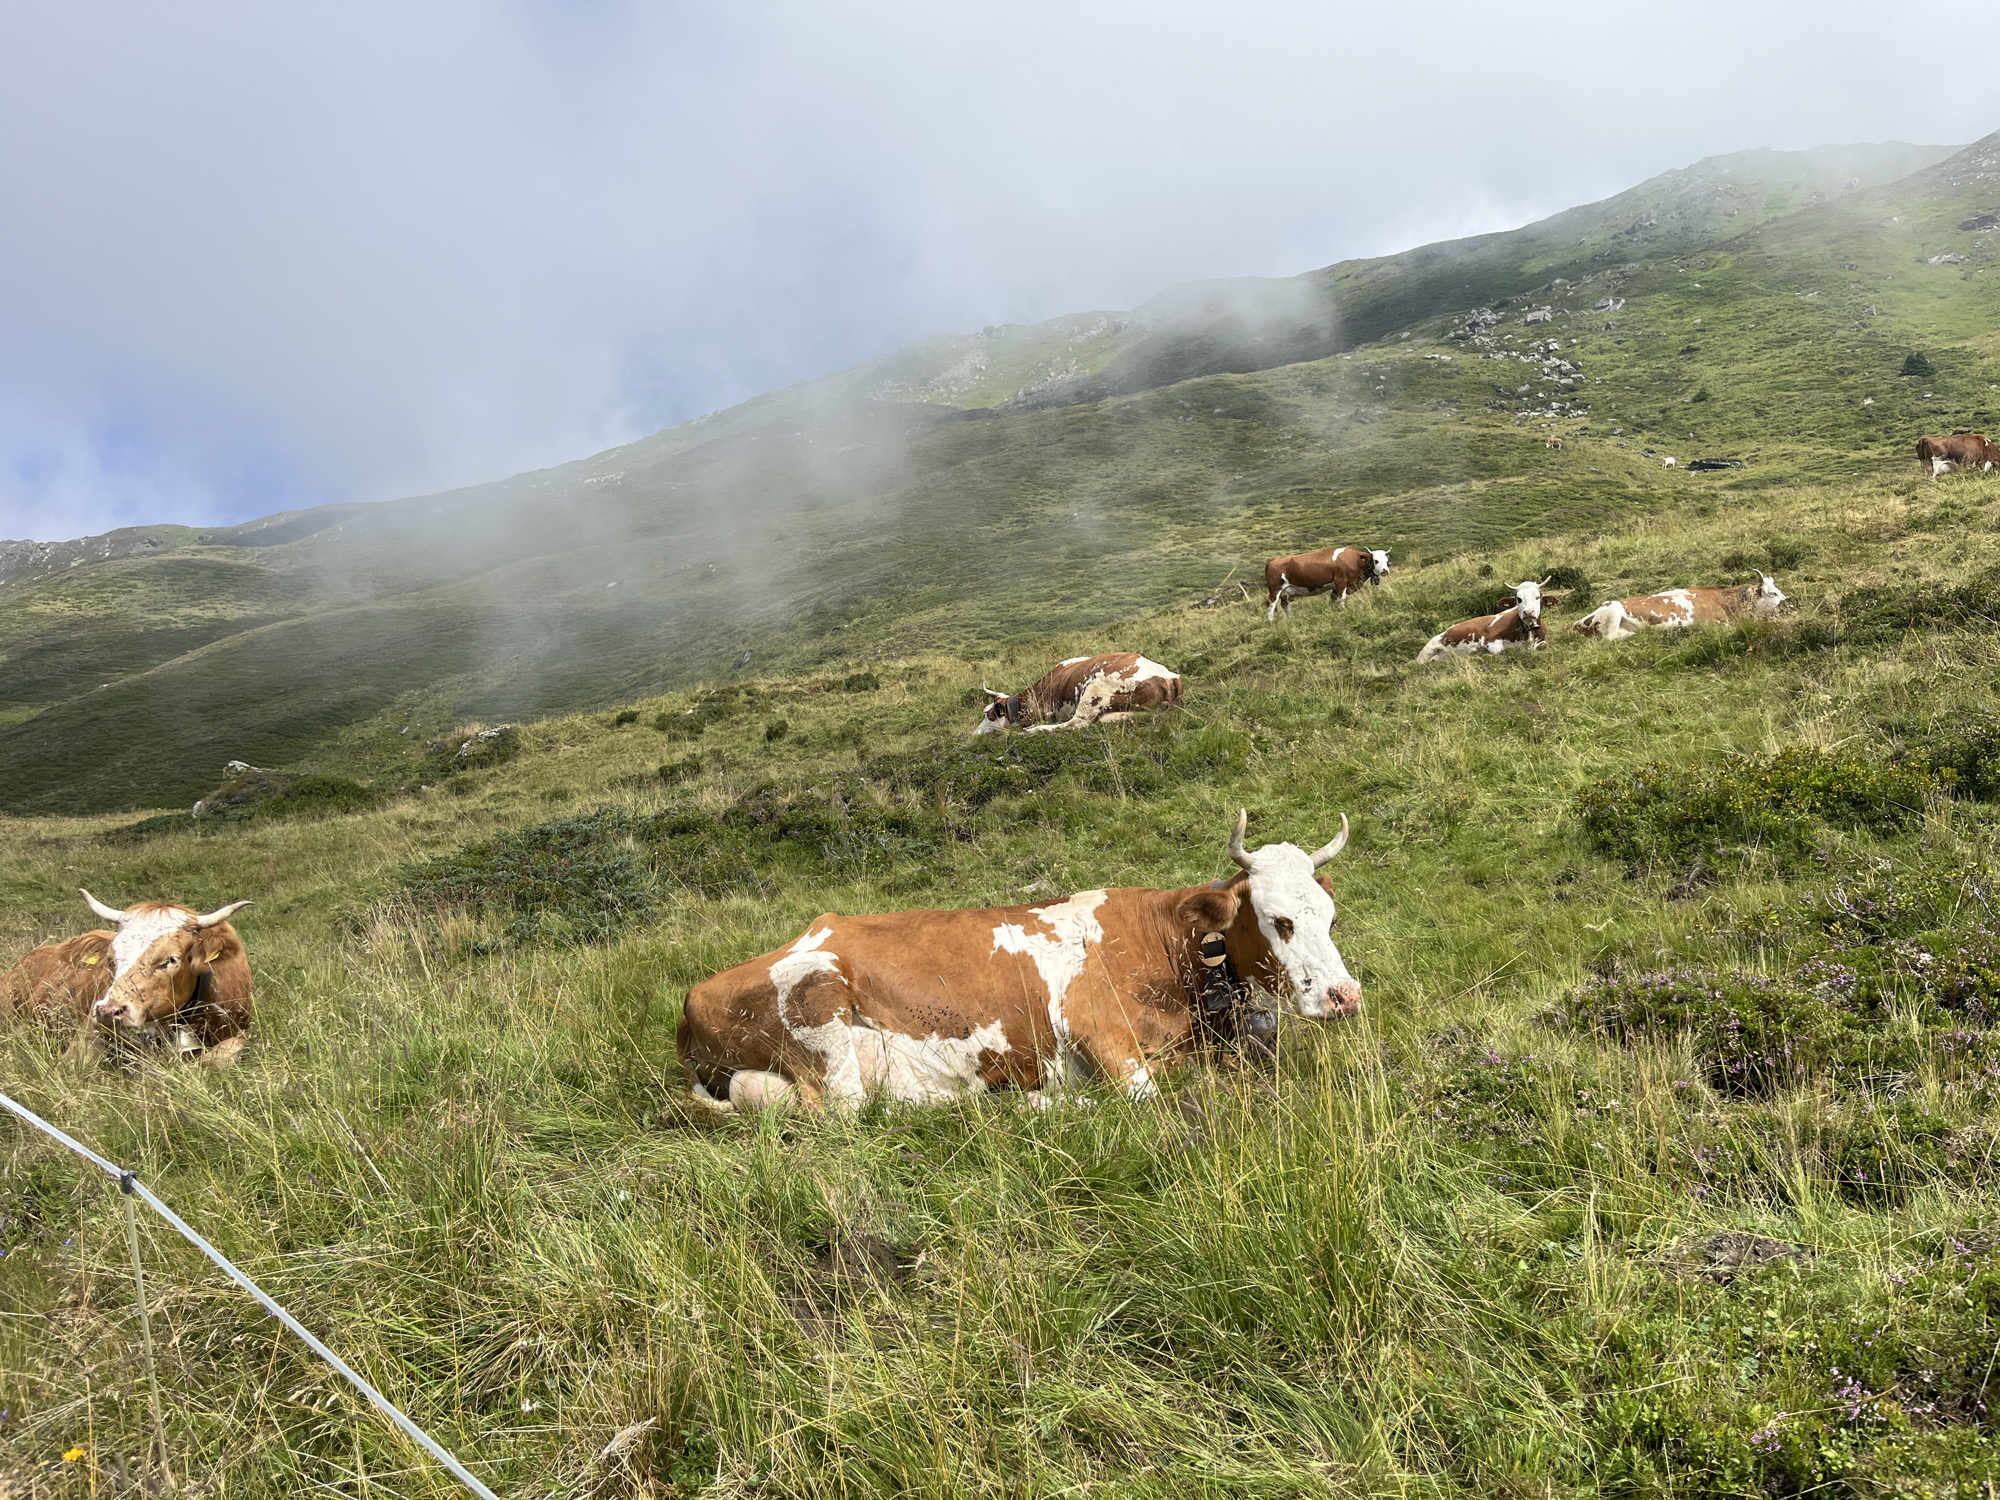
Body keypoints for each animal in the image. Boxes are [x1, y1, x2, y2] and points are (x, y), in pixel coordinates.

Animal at [676, 810, 1361, 1113]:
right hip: (819, 1010)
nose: (1343, 996)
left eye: (1330, 918)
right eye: (1279, 920)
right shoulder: (1095, 1028)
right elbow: (1150, 1098)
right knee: (853, 1115)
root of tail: (689, 1000)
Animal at [977, 653, 1181, 734]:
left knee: (1075, 723)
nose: (974, 734)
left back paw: (1034, 730)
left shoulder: (1044, 710)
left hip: (1093, 692)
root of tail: (1170, 676)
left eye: (988, 715)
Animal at [1416, 580, 1549, 663]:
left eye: (1538, 597)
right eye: (1519, 599)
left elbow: (1543, 645)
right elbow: (1500, 651)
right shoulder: (1488, 640)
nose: (1529, 612)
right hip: (1427, 651)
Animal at [1570, 575, 1786, 640]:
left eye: (1778, 589)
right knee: (1608, 639)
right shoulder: (1715, 623)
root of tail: (1574, 624)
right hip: (1613, 611)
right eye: (1772, 593)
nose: (1786, 601)